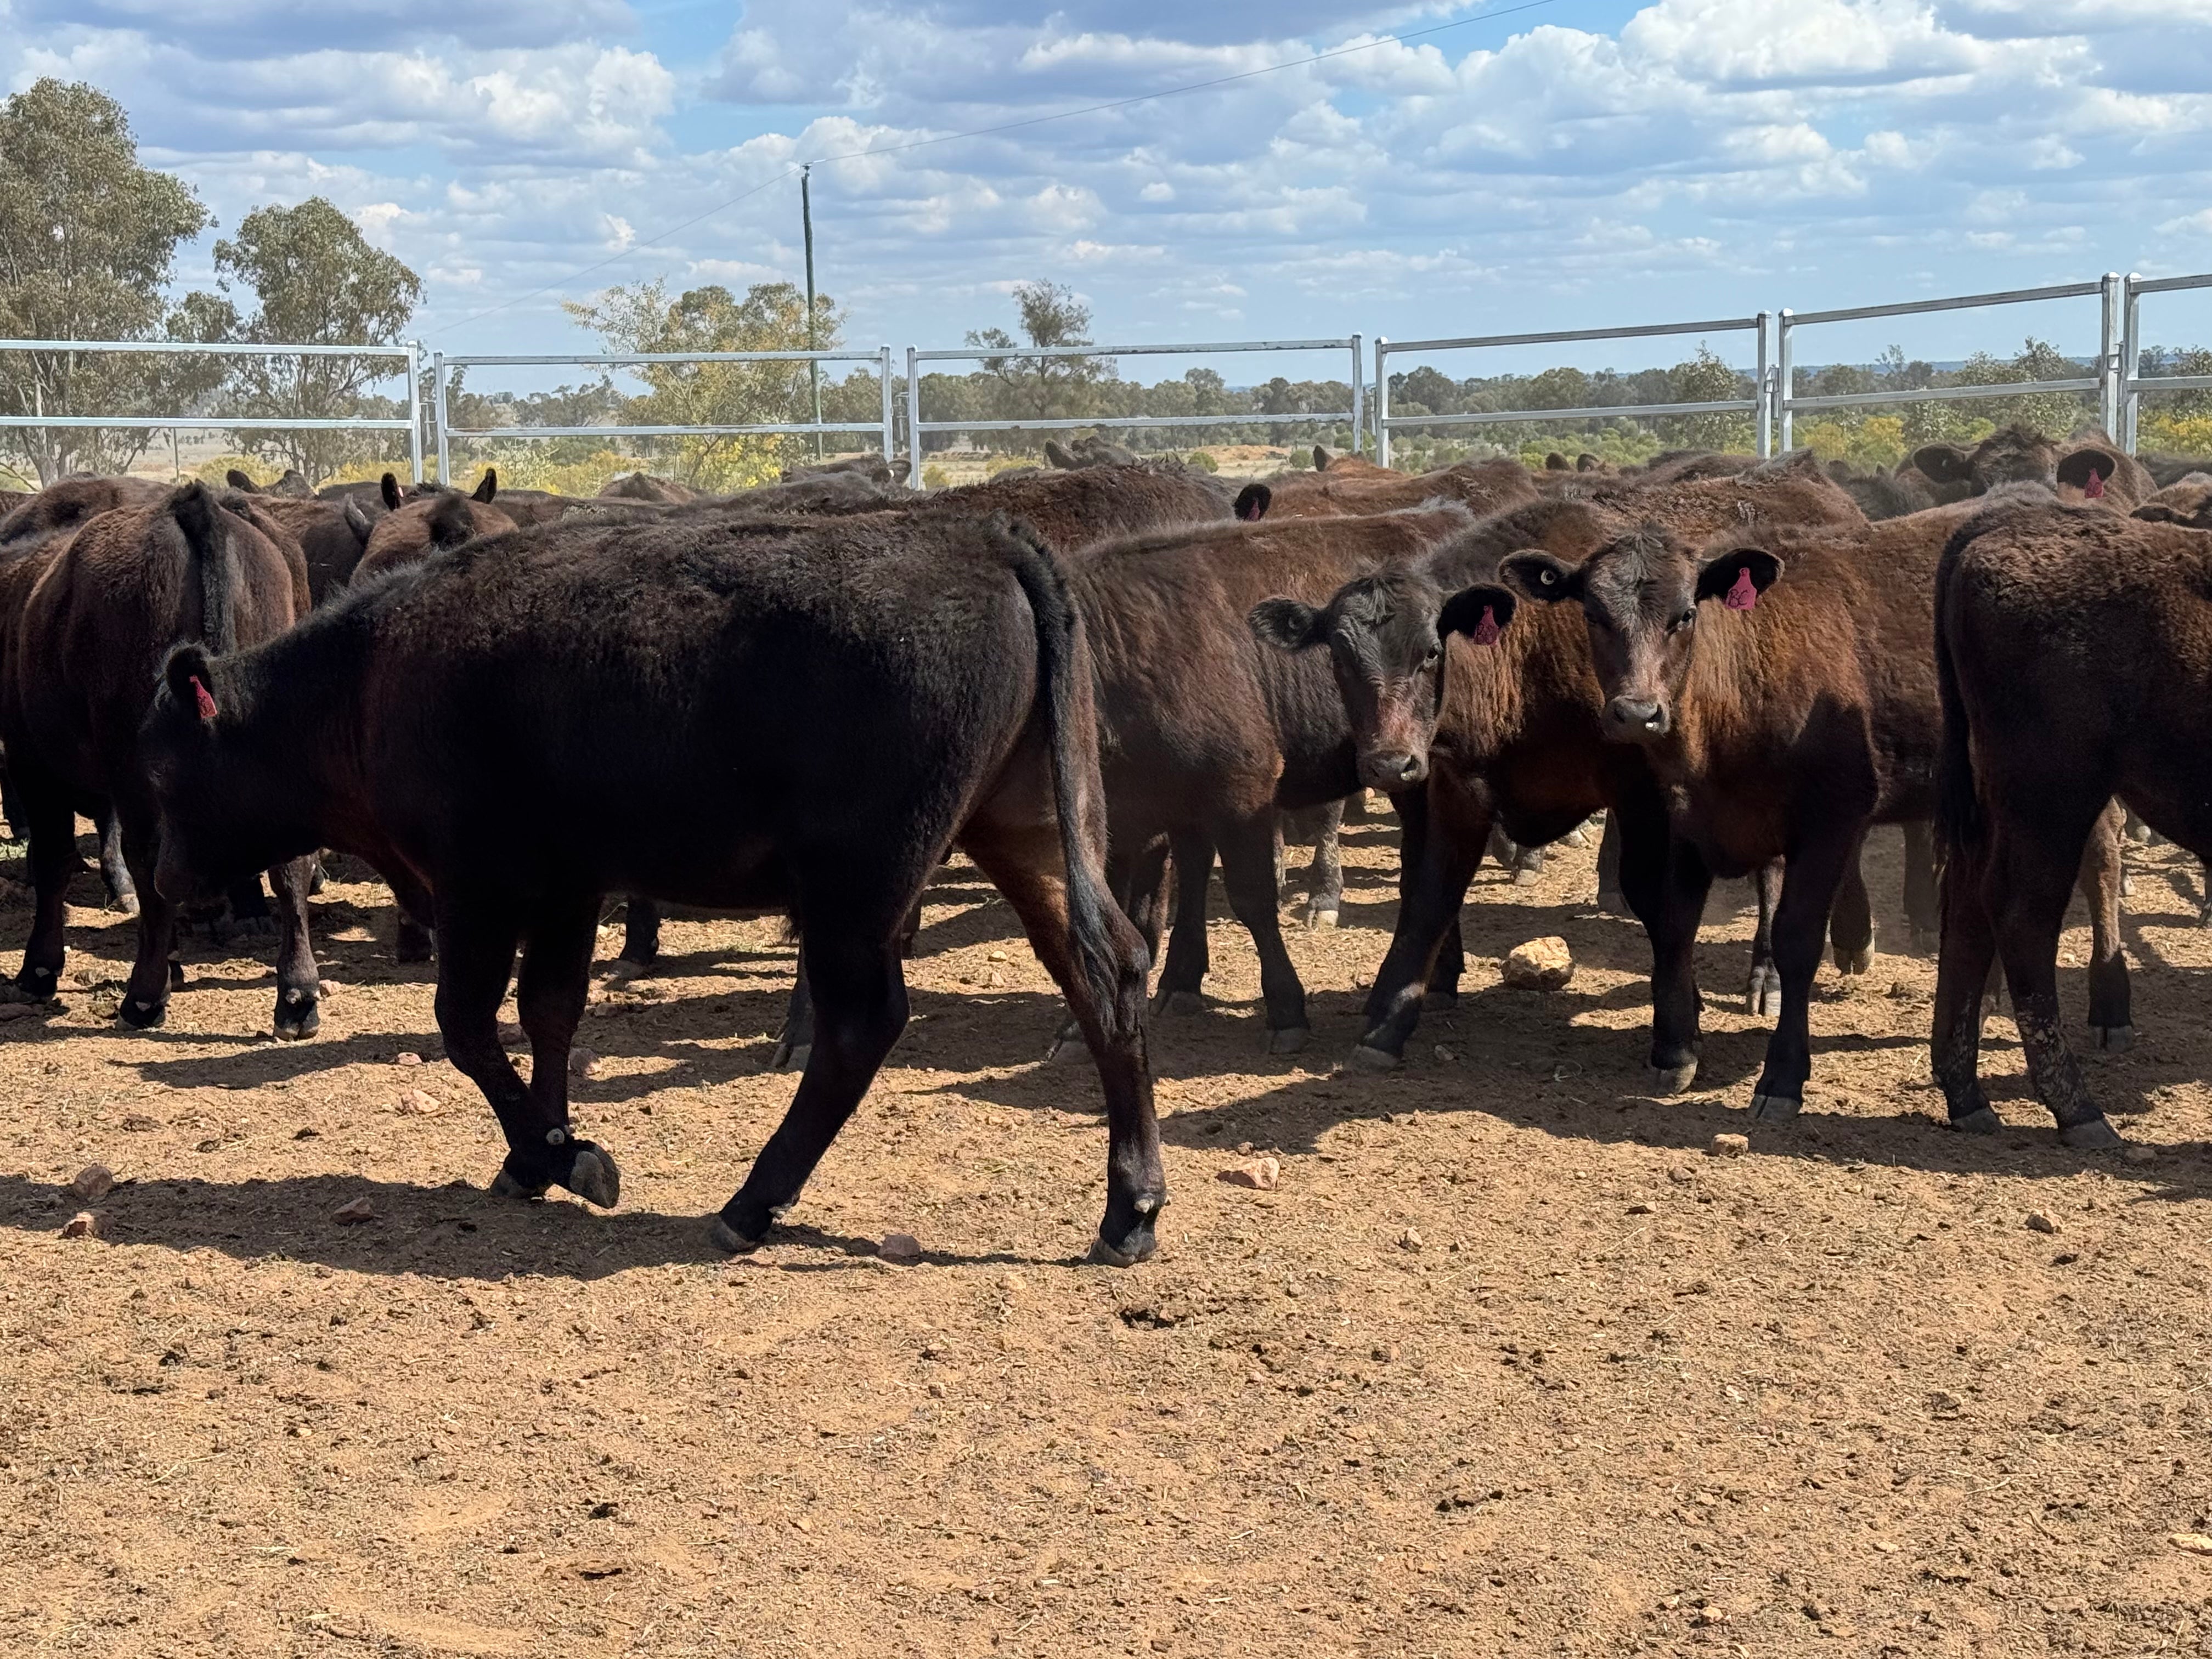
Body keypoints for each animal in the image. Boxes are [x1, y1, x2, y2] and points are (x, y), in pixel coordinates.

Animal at [2, 482, 322, 1036]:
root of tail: (192, 506)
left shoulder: (34, 766)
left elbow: (54, 862)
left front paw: (40, 968)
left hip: (136, 772)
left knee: (149, 857)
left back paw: (144, 996)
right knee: (289, 862)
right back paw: (297, 995)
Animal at [144, 506, 1166, 1264]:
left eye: (163, 768)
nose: (167, 879)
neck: (366, 681)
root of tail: (989, 542)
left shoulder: (480, 887)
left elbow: (468, 1026)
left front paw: (561, 1155)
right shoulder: (567, 888)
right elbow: (550, 1012)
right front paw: (538, 1155)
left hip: (856, 888)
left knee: (860, 1026)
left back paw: (750, 1204)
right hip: (1030, 832)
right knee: (1107, 974)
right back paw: (1131, 1208)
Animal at [1929, 497, 2212, 1148]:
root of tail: (2010, 522)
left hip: (1999, 799)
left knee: (1968, 906)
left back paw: (1968, 1097)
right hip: (2052, 796)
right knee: (2022, 915)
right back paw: (2078, 1110)